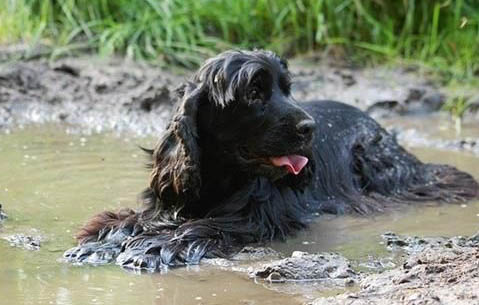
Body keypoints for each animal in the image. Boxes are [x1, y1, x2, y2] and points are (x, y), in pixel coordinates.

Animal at [63, 49, 479, 268]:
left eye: (287, 89)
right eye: (254, 92)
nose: (310, 128)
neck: (221, 177)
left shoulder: (257, 217)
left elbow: (206, 227)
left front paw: (153, 248)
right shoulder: (170, 200)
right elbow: (132, 220)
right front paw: (100, 242)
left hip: (374, 160)